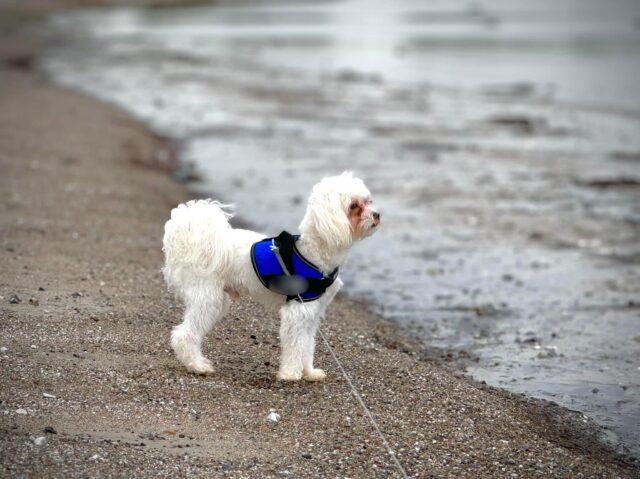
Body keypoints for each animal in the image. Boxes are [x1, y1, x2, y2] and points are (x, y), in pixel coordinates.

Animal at [161, 172, 380, 382]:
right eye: (354, 206)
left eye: (368, 201)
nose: (377, 214)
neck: (313, 252)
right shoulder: (297, 311)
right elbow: (296, 345)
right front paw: (290, 373)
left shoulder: (312, 313)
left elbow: (307, 344)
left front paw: (308, 372)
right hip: (208, 298)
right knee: (184, 334)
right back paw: (198, 366)